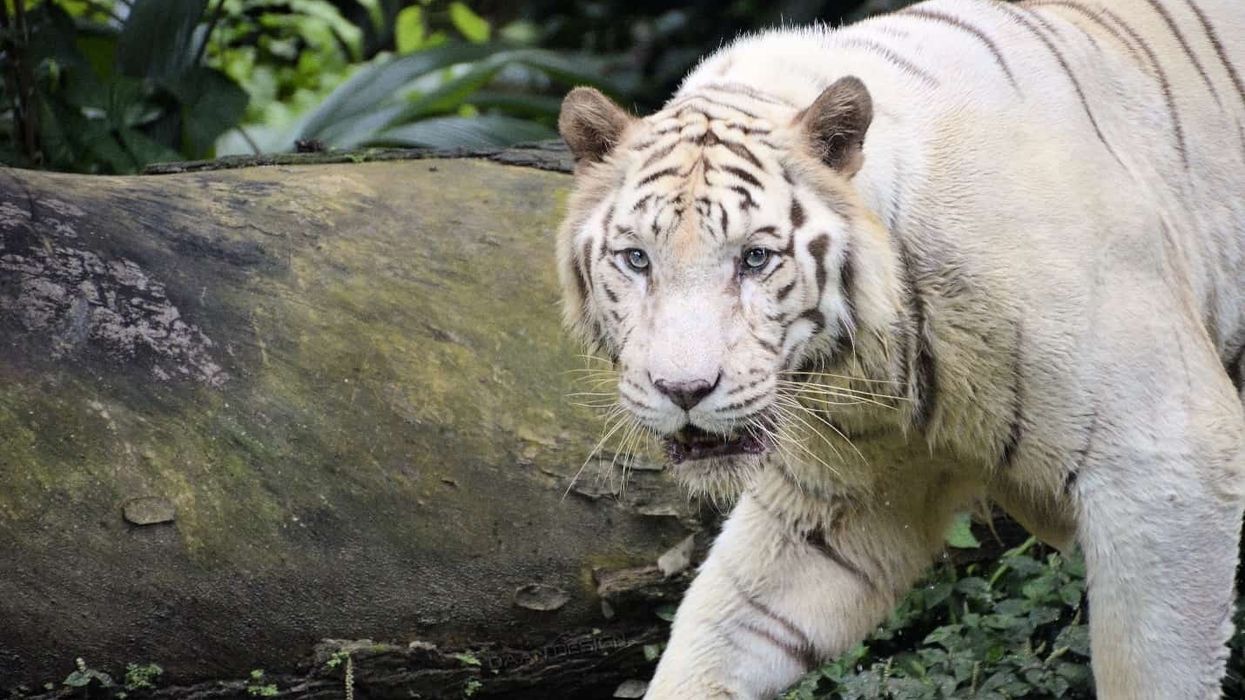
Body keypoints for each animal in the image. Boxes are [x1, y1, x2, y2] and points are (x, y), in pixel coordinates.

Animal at [554, 0, 1245, 697]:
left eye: (755, 258)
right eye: (637, 259)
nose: (684, 391)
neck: (874, 359)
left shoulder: (1167, 462)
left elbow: (1153, 662)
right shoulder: (838, 498)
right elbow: (720, 632)